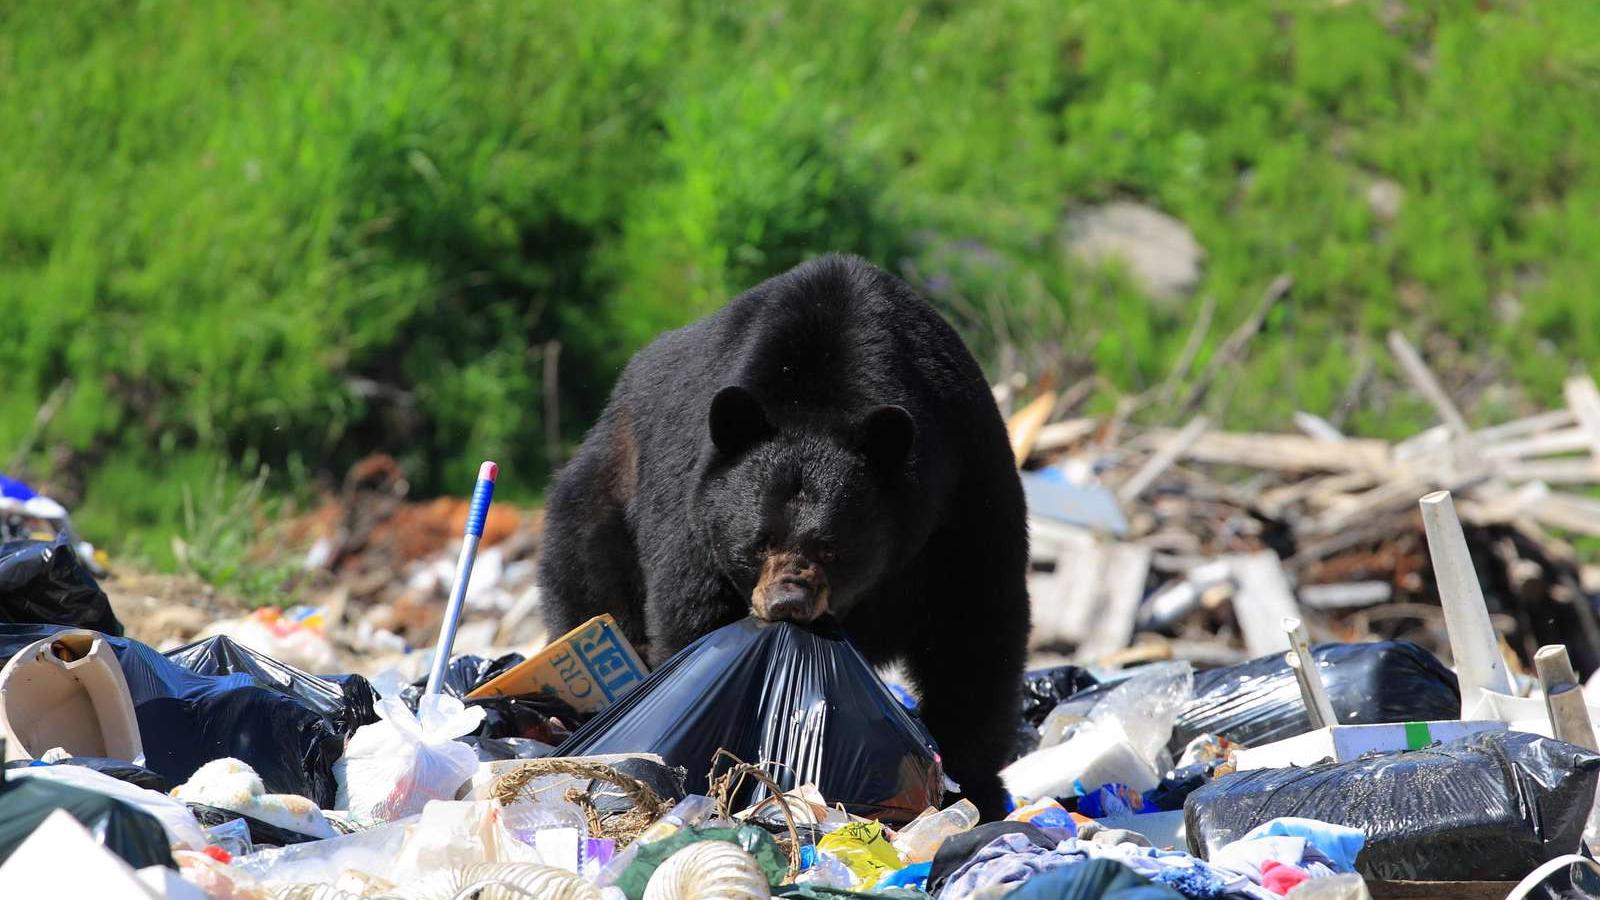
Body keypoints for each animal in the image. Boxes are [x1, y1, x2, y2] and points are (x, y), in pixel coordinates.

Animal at [544, 253, 1030, 813]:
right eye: (759, 543)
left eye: (831, 548)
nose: (787, 602)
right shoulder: (693, 511)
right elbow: (696, 622)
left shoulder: (961, 491)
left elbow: (974, 627)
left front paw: (973, 785)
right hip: (608, 489)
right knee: (586, 572)